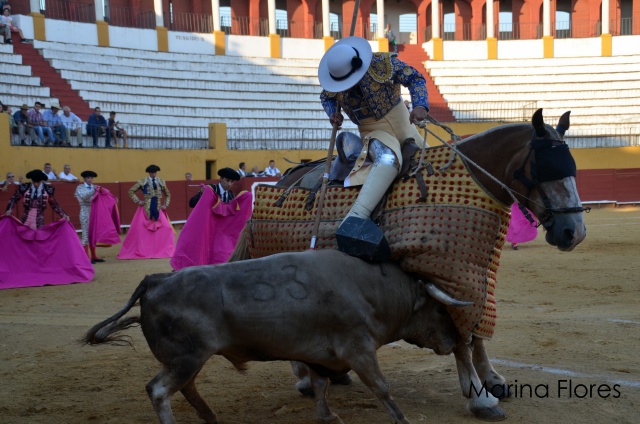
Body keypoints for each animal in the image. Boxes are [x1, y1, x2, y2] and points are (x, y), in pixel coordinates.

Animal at [82, 250, 478, 422]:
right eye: (440, 310)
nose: (454, 340)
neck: (371, 290)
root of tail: (155, 280)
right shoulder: (359, 348)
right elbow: (380, 387)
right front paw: (402, 419)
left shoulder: (319, 353)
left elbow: (319, 384)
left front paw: (327, 416)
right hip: (186, 357)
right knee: (160, 391)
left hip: (188, 359)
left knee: (186, 388)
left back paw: (211, 418)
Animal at [229, 109, 584, 420]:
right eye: (545, 167)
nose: (574, 232)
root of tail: (282, 181)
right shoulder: (445, 275)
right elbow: (461, 337)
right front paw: (480, 397)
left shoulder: (476, 270)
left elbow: (477, 330)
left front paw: (493, 380)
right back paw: (304, 378)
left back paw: (331, 375)